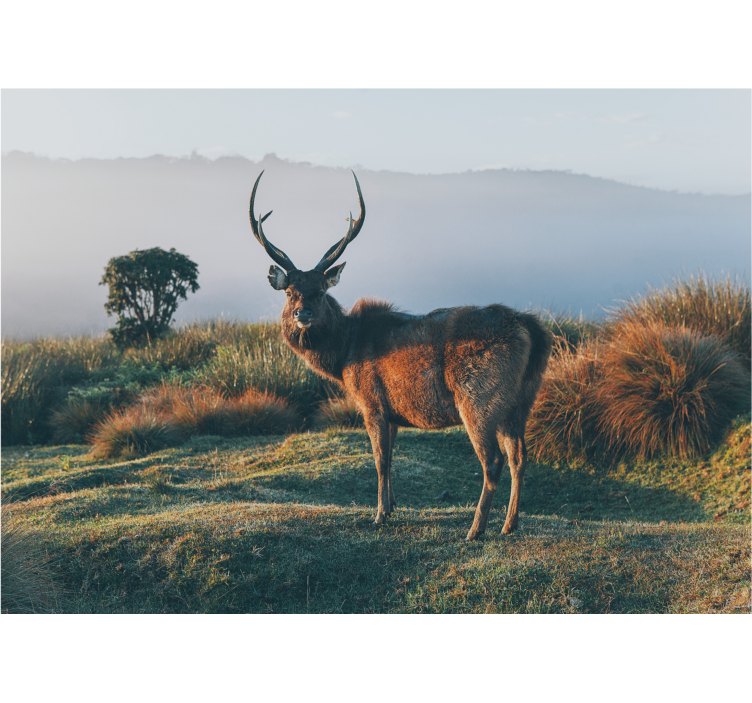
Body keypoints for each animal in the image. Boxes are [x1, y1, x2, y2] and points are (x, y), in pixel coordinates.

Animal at [248, 170, 553, 540]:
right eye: (290, 291)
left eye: (320, 291)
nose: (301, 314)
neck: (344, 356)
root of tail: (533, 330)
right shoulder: (393, 412)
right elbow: (391, 458)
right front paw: (392, 506)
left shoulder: (371, 401)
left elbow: (379, 459)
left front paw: (379, 515)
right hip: (522, 400)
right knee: (519, 456)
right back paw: (510, 524)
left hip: (479, 397)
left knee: (493, 460)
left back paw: (475, 529)